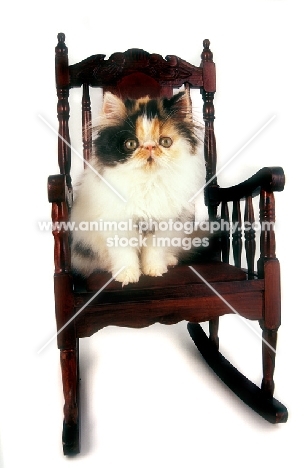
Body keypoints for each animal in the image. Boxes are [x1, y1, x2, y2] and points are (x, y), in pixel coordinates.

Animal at [71, 88, 208, 286]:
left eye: (165, 142)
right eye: (131, 144)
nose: (150, 147)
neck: (147, 182)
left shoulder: (162, 225)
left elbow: (154, 251)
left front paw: (155, 270)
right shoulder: (117, 225)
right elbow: (124, 254)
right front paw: (127, 275)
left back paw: (169, 260)